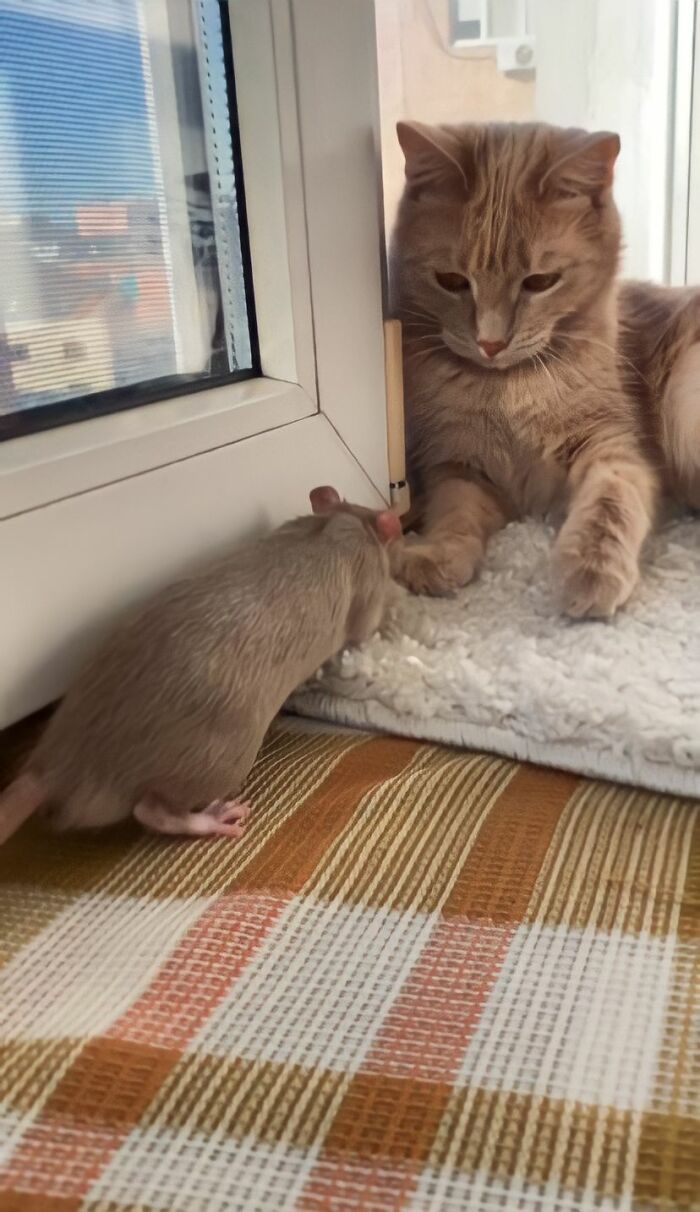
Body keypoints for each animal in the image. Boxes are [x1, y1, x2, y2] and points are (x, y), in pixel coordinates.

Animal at [389, 120, 692, 615]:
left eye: (540, 282)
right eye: (451, 281)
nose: (490, 343)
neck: (507, 388)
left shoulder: (612, 446)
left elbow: (610, 502)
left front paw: (592, 569)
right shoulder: (458, 465)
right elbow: (452, 512)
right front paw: (437, 556)